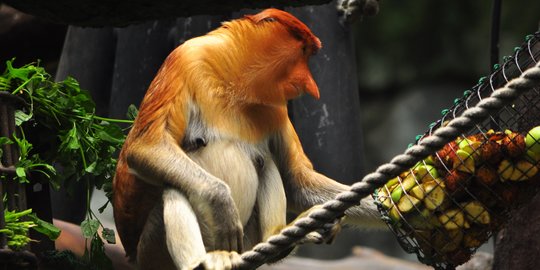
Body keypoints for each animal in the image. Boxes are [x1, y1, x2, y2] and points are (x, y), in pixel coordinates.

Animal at [114, 8, 384, 270]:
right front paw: (221, 205)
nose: (311, 85)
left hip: (246, 239)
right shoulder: (184, 59)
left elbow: (296, 181)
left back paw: (278, 237)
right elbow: (145, 146)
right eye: (303, 52)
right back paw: (201, 261)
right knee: (175, 186)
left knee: (264, 161)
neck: (235, 78)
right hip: (152, 249)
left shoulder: (276, 107)